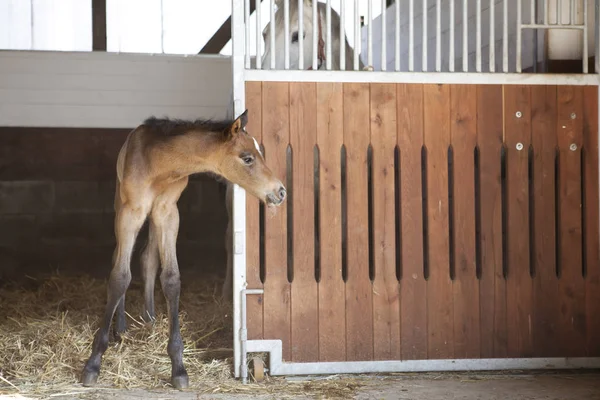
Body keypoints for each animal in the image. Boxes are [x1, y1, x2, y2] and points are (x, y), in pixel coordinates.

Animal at [81, 109, 286, 388]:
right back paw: (121, 327)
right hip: (120, 206)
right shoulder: (131, 212)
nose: (280, 192)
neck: (159, 166)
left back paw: (150, 319)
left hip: (154, 217)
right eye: (247, 158)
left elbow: (170, 279)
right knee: (120, 258)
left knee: (148, 259)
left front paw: (178, 366)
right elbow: (120, 276)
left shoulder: (168, 212)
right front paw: (94, 362)